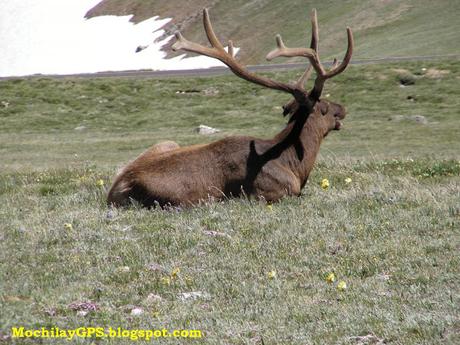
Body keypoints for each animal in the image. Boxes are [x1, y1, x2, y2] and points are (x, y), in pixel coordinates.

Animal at [107, 8, 352, 207]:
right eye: (325, 106)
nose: (343, 108)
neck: (294, 164)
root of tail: (112, 193)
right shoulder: (271, 192)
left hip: (166, 142)